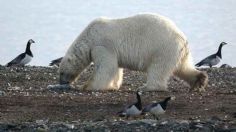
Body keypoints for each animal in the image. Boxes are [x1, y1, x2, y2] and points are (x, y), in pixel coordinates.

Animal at [56, 13, 207, 92]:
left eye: (61, 72)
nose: (61, 82)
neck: (89, 36)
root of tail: (182, 38)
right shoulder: (112, 50)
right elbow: (115, 68)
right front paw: (113, 86)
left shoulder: (102, 46)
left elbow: (105, 67)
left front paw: (88, 86)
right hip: (179, 52)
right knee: (183, 66)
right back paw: (199, 79)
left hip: (163, 48)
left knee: (158, 69)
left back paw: (147, 87)